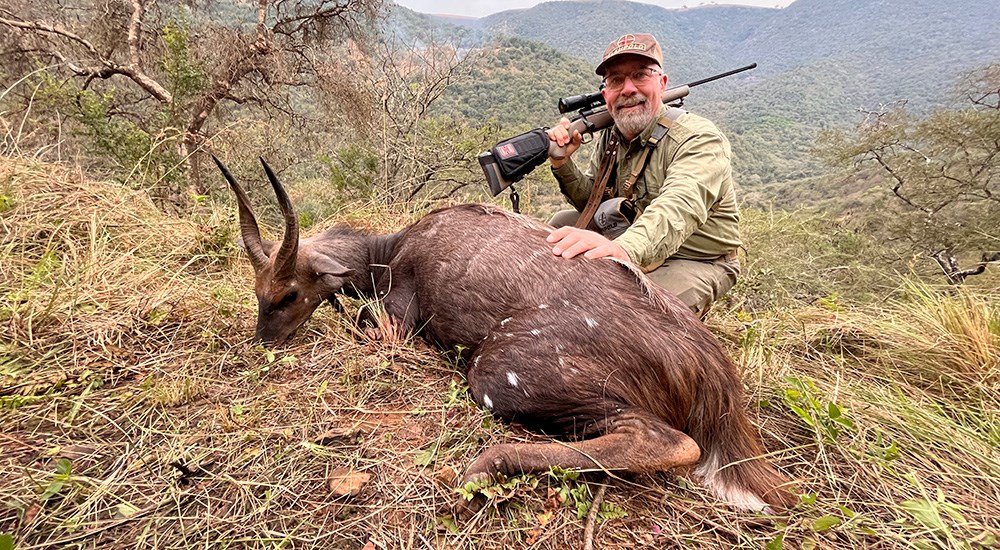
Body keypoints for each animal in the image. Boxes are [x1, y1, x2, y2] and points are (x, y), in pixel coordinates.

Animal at [219, 157, 796, 516]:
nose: (263, 341)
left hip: (499, 375)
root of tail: (710, 368)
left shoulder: (399, 319)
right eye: (256, 292)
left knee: (670, 441)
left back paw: (481, 467)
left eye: (288, 294)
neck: (393, 249)